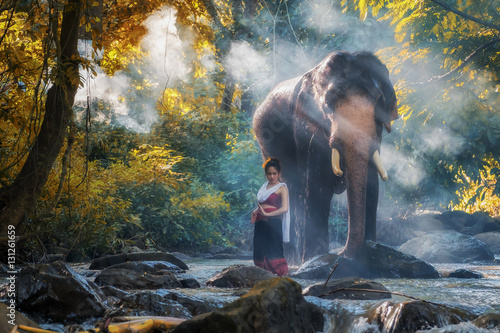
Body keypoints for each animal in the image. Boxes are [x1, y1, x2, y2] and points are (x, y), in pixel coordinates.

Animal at [254, 50, 398, 262]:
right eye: (328, 103)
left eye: (379, 101)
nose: (340, 253)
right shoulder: (305, 128)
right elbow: (318, 185)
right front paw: (316, 258)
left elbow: (372, 184)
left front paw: (370, 250)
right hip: (267, 142)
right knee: (293, 190)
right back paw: (293, 259)